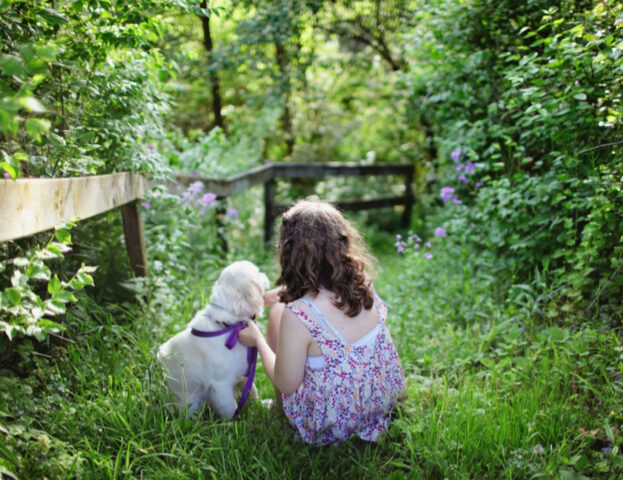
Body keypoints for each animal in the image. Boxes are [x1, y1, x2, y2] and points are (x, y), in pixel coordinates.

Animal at [157, 260, 270, 418]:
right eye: (258, 273)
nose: (265, 275)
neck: (229, 326)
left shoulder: (244, 374)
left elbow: (252, 390)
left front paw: (262, 405)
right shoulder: (220, 386)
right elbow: (230, 409)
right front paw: (234, 422)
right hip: (191, 401)